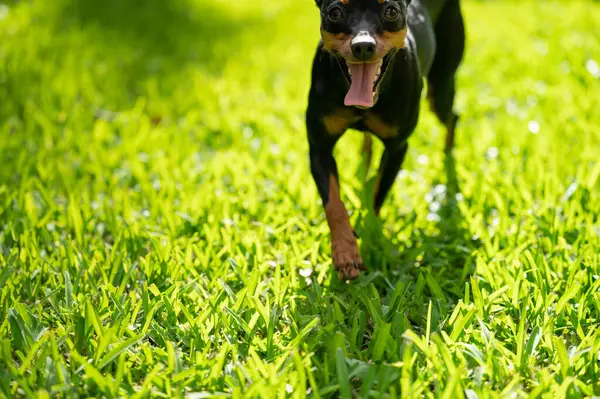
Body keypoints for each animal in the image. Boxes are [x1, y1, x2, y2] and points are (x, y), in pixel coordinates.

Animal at [304, 0, 464, 282]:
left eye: (391, 11)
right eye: (335, 12)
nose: (363, 46)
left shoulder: (398, 147)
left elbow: (378, 195)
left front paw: (368, 234)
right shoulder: (319, 148)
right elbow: (334, 204)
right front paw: (345, 252)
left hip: (441, 85)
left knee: (453, 117)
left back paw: (447, 157)